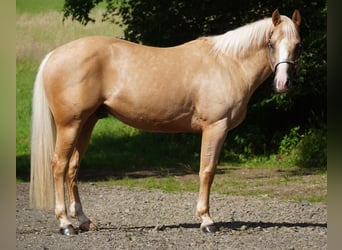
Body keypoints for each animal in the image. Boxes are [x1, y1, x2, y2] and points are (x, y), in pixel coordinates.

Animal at [30, 9, 300, 234]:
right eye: (271, 43)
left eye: (297, 45)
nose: (283, 84)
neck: (227, 63)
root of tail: (53, 55)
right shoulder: (215, 127)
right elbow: (207, 171)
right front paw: (206, 220)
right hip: (70, 125)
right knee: (59, 165)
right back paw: (65, 224)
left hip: (87, 123)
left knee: (72, 168)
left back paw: (85, 222)